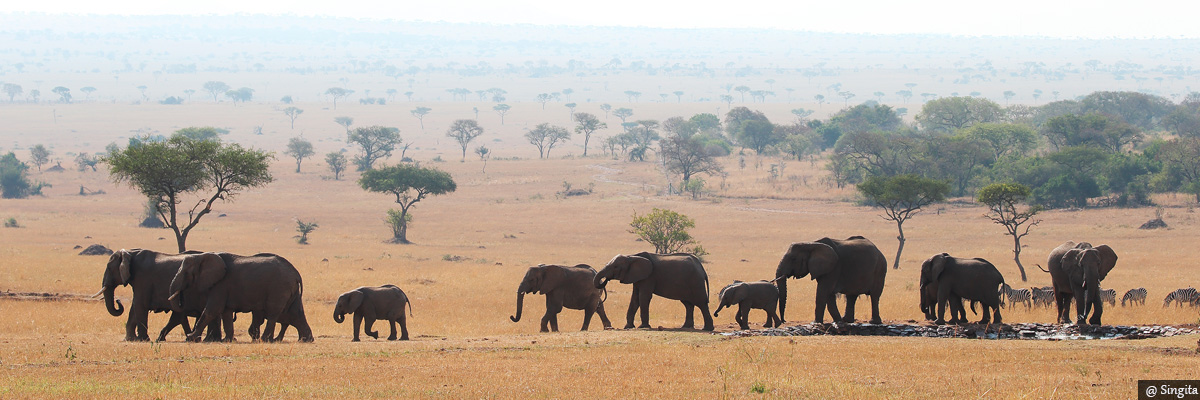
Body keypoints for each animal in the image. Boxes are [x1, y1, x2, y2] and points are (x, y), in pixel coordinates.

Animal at [168, 252, 314, 338]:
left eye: (186, 273)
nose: (181, 301)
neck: (202, 256)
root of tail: (296, 273)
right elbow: (226, 312)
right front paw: (228, 340)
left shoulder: (221, 284)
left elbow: (212, 310)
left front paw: (190, 337)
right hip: (290, 289)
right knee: (296, 312)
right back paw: (306, 340)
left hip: (279, 288)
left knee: (273, 313)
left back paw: (265, 339)